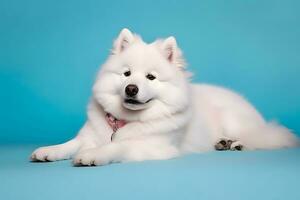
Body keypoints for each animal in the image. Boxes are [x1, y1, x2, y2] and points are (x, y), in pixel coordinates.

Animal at [29, 28, 298, 166]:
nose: (131, 89)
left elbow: (117, 147)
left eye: (151, 77)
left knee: (257, 137)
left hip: (234, 119)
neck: (125, 123)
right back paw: (222, 143)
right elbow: (71, 143)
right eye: (126, 74)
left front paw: (94, 155)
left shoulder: (153, 147)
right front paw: (49, 151)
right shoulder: (90, 135)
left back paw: (236, 143)